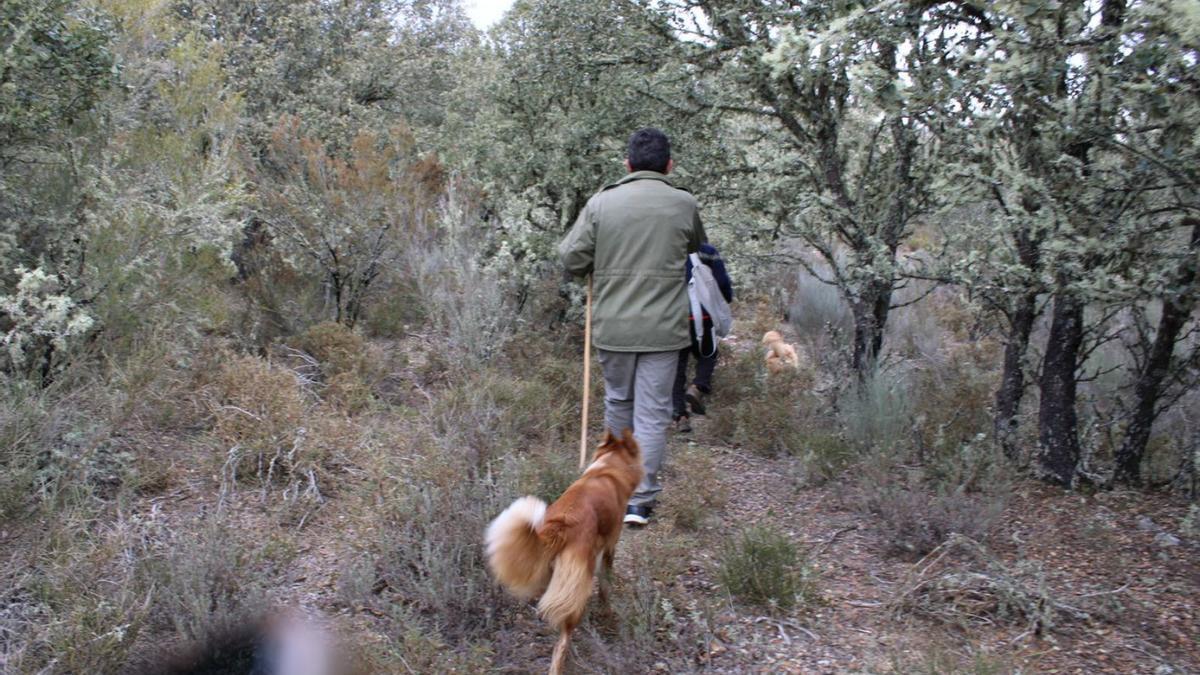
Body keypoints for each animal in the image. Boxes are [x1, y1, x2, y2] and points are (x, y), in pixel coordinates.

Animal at [482, 427, 643, 667]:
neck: (607, 469)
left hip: (551, 573)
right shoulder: (610, 547)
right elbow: (606, 587)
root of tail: (560, 526)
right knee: (562, 641)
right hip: (579, 579)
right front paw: (607, 613)